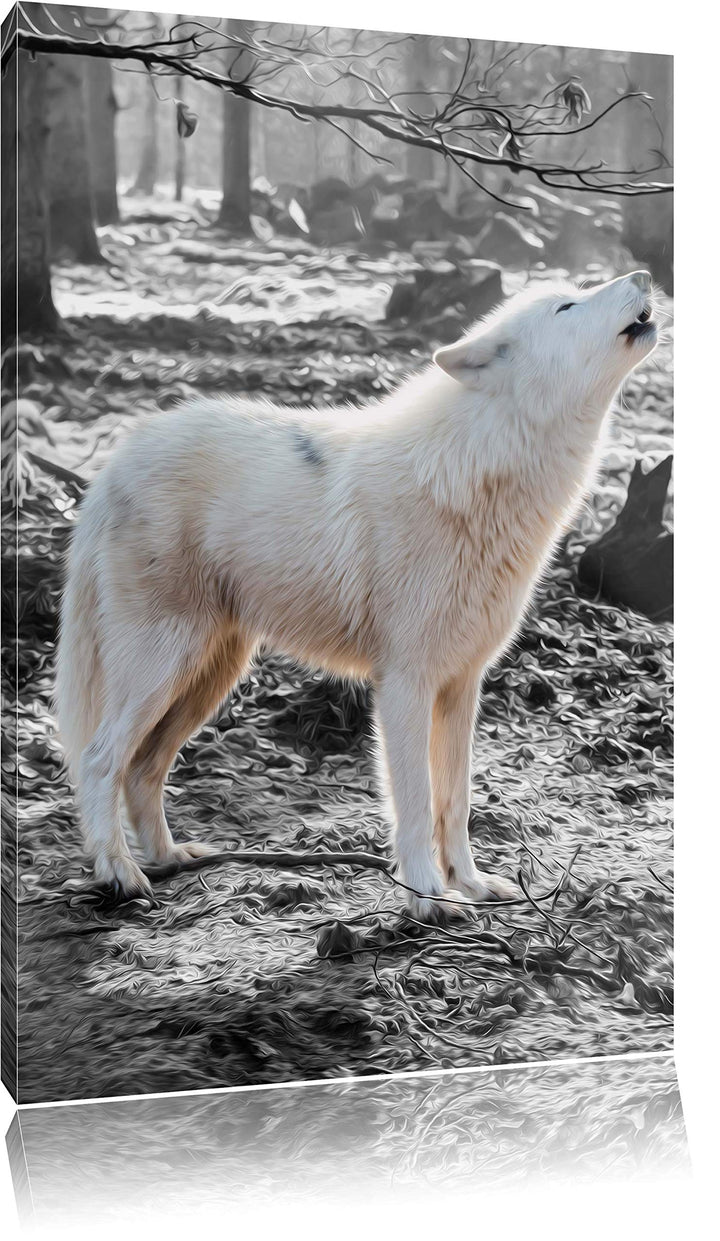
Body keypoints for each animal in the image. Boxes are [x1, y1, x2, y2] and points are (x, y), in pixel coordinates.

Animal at [56, 270, 658, 919]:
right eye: (567, 306)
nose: (645, 276)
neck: (479, 469)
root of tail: (116, 462)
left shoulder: (462, 686)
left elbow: (456, 801)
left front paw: (470, 885)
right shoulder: (404, 684)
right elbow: (415, 802)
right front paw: (428, 897)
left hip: (209, 677)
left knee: (143, 768)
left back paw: (169, 857)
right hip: (163, 668)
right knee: (99, 759)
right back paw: (119, 873)